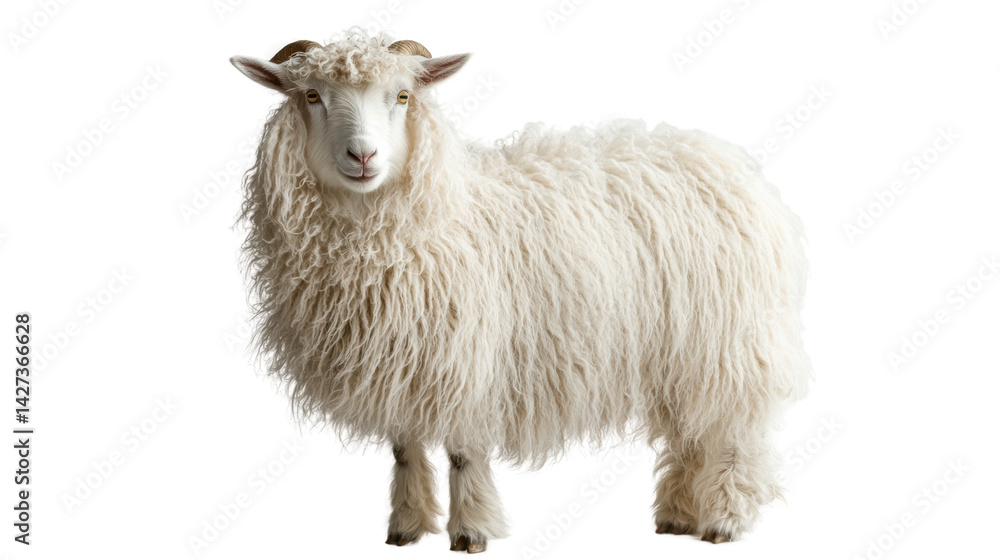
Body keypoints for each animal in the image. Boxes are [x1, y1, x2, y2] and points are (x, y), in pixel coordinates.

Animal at [230, 30, 811, 553]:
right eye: (311, 96)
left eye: (403, 96)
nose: (363, 156)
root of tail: (727, 160)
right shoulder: (401, 360)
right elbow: (405, 449)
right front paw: (406, 528)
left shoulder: (465, 359)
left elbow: (462, 452)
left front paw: (471, 533)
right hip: (681, 347)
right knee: (692, 430)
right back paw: (677, 516)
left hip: (730, 341)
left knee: (733, 431)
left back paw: (725, 521)